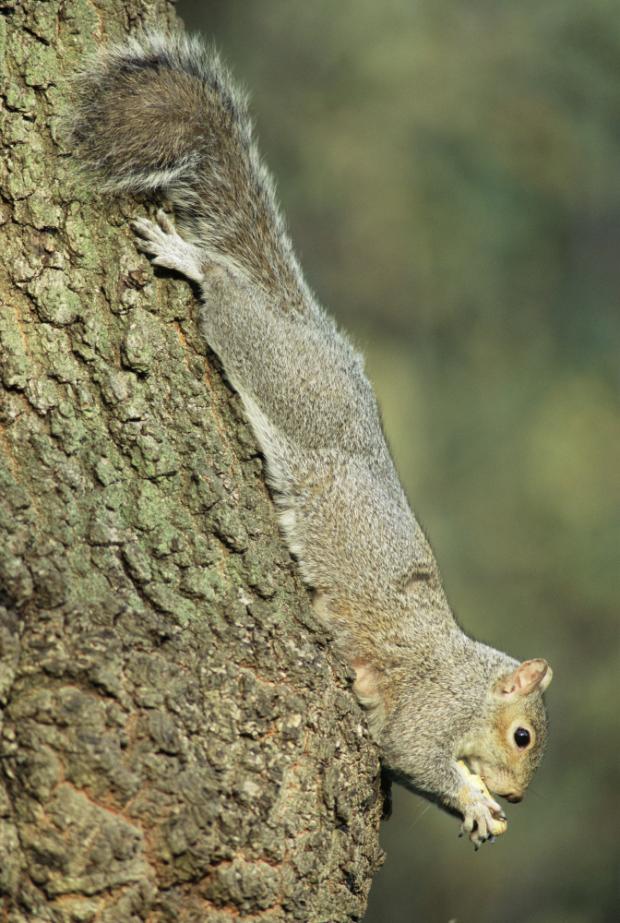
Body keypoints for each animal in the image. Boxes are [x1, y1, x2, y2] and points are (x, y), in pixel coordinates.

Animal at [71, 30, 552, 852]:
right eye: (522, 736)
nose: (520, 795)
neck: (466, 677)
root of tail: (305, 323)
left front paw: (483, 805)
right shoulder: (426, 709)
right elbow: (411, 751)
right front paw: (473, 798)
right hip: (275, 364)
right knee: (230, 295)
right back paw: (194, 260)